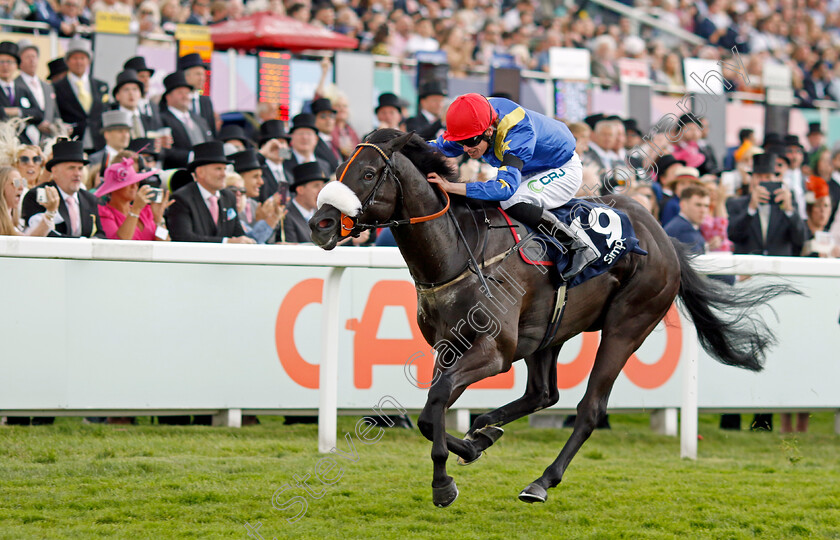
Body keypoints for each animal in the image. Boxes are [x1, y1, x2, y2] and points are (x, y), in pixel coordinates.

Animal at [310, 130, 796, 506]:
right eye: (339, 171)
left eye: (367, 174)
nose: (320, 224)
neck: (456, 252)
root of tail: (664, 238)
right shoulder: (450, 347)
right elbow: (433, 411)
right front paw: (469, 448)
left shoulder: (493, 350)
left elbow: (437, 407)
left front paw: (445, 482)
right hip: (548, 333)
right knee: (544, 393)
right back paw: (487, 429)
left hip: (627, 325)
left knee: (588, 409)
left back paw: (541, 481)